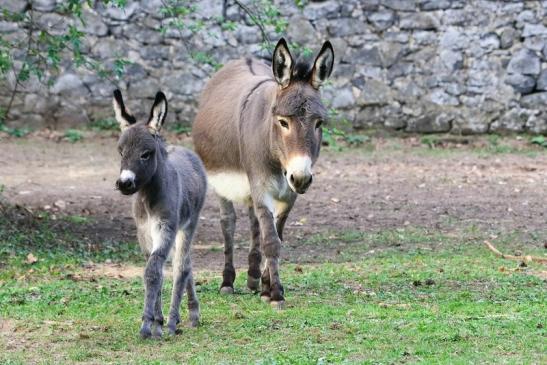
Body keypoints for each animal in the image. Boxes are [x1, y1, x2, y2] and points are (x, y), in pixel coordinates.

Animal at [112, 89, 207, 336]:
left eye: (146, 154)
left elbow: (154, 271)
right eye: (121, 153)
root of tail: (183, 149)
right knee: (185, 263)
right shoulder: (144, 232)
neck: (148, 199)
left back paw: (177, 320)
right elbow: (154, 270)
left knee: (181, 266)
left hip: (188, 224)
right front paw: (156, 320)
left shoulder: (166, 226)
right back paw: (185, 314)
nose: (124, 183)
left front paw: (148, 325)